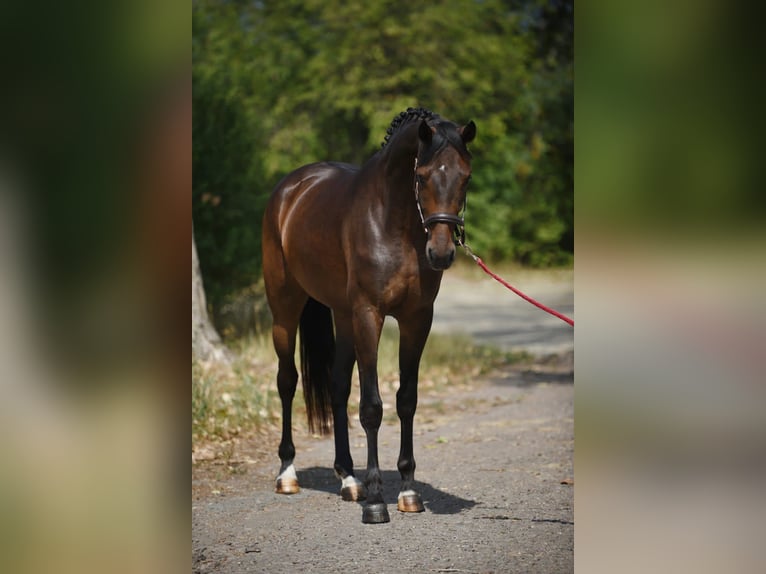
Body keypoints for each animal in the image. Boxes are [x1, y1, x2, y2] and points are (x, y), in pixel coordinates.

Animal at [268, 108, 476, 528]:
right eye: (421, 176)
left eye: (466, 176)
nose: (441, 253)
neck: (391, 221)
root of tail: (290, 189)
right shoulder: (369, 315)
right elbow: (372, 407)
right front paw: (377, 501)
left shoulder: (416, 319)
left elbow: (406, 400)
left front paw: (408, 492)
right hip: (285, 307)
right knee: (287, 381)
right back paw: (287, 474)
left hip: (343, 316)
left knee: (336, 387)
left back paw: (349, 479)